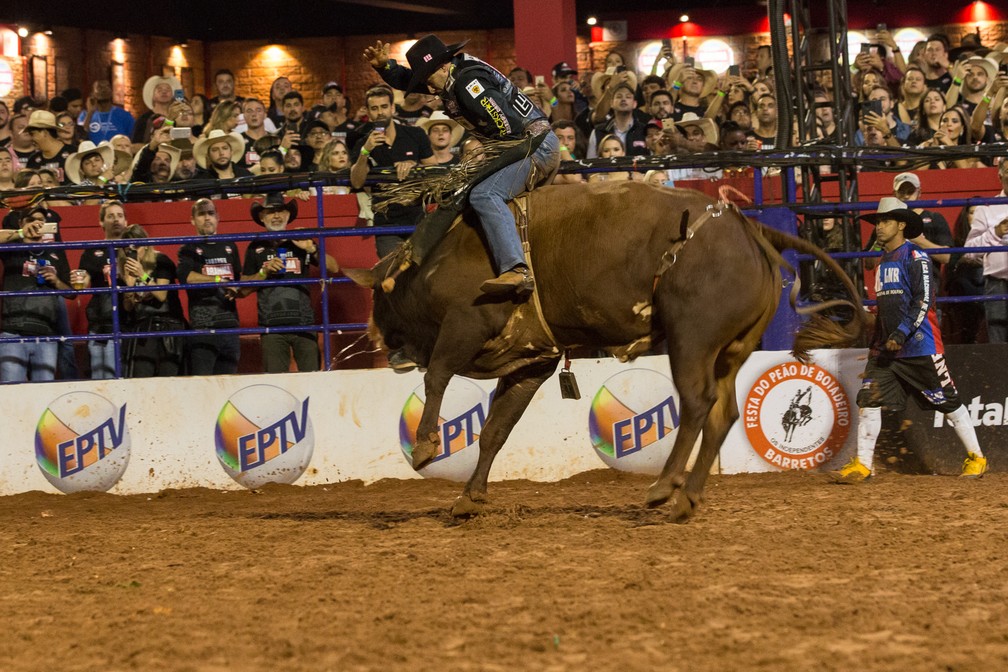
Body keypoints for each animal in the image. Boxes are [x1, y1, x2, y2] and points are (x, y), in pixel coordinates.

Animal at [348, 181, 866, 523]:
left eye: (378, 300)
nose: (375, 337)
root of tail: (749, 229)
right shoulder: (533, 361)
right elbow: (495, 430)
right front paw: (468, 498)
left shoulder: (463, 324)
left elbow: (436, 376)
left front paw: (424, 449)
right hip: (729, 350)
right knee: (722, 414)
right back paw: (686, 499)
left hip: (690, 339)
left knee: (697, 404)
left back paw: (664, 487)